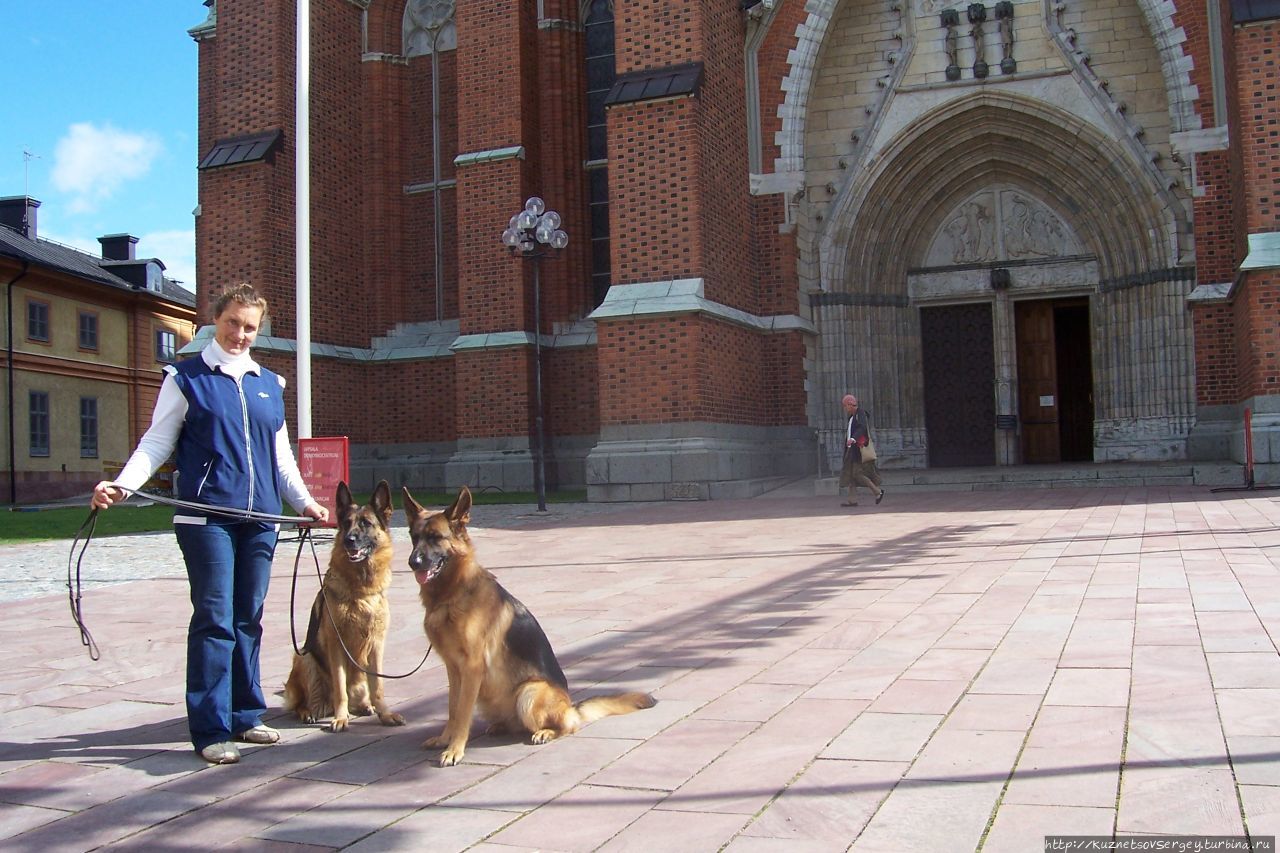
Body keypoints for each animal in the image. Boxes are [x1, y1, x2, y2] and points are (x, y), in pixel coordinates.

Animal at [285, 481, 404, 727]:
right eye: (346, 523)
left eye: (366, 523)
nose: (349, 540)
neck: (361, 591)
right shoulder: (336, 645)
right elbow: (340, 687)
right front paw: (341, 718)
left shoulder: (376, 645)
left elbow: (378, 687)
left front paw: (385, 714)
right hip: (305, 658)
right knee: (304, 701)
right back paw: (310, 711)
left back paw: (366, 706)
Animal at [401, 481, 660, 768]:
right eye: (414, 537)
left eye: (436, 538)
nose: (412, 562)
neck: (452, 594)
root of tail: (571, 706)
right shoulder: (453, 669)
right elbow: (452, 709)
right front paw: (445, 739)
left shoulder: (471, 668)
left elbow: (463, 713)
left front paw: (455, 749)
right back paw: (501, 727)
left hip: (529, 692)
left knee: (569, 726)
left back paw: (545, 732)